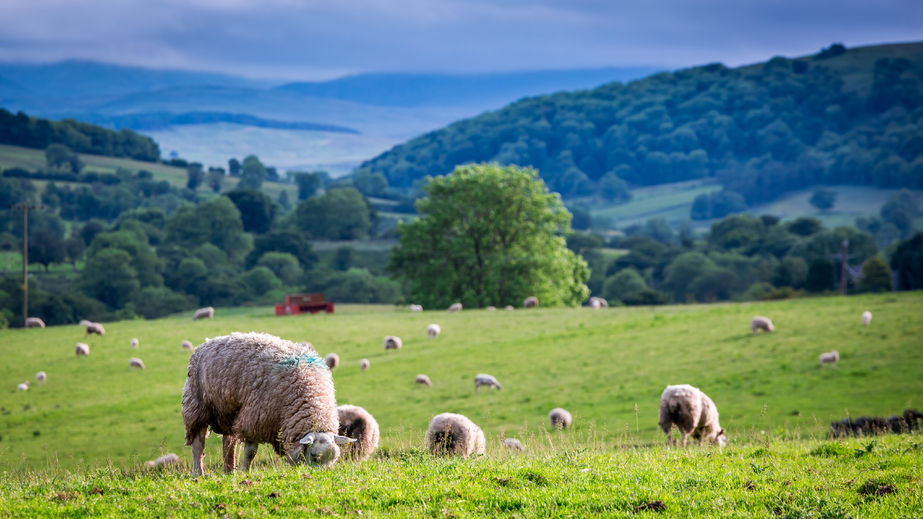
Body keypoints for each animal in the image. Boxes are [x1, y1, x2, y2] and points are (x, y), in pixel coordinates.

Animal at [182, 334, 356, 480]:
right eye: (313, 456)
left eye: (333, 459)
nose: (320, 477)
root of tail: (207, 342)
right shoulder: (254, 418)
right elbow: (251, 452)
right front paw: (245, 472)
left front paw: (240, 472)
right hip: (196, 407)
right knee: (198, 446)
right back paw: (198, 474)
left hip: (228, 413)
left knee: (229, 444)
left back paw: (229, 471)